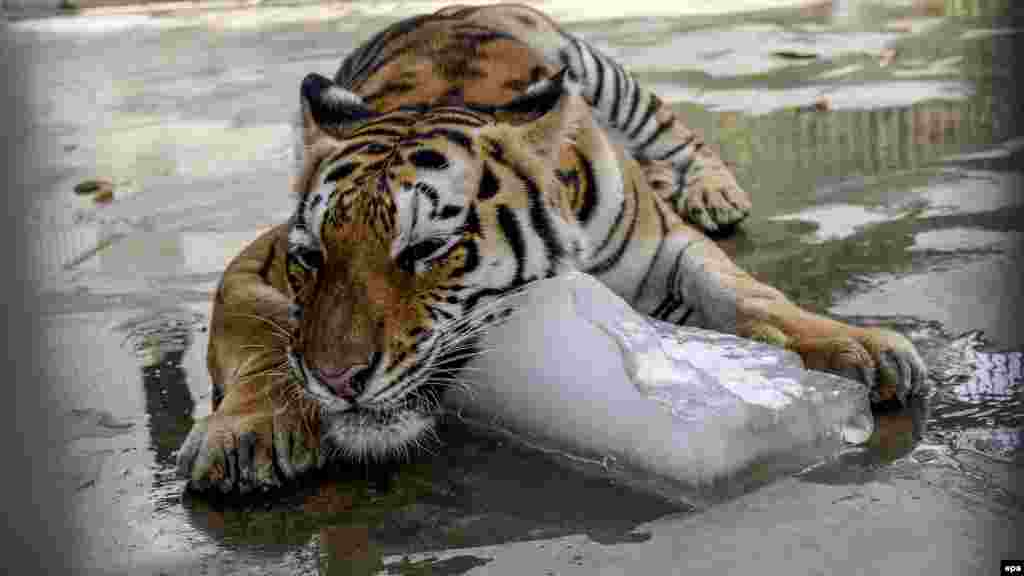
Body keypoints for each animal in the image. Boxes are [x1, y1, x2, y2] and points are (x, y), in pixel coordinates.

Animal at [176, 2, 929, 491]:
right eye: (312, 258)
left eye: (425, 249)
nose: (334, 380)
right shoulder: (254, 262)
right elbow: (259, 332)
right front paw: (249, 431)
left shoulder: (668, 252)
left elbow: (748, 291)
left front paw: (858, 347)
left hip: (604, 73)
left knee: (676, 129)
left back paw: (711, 189)